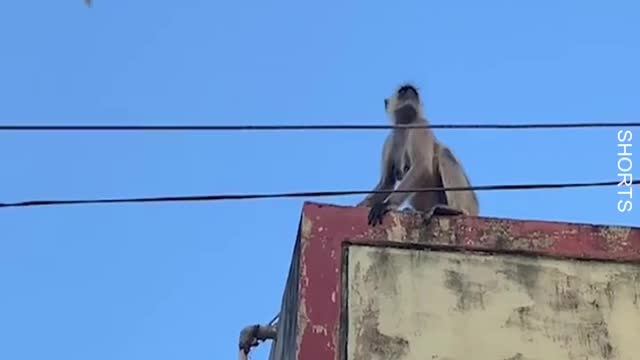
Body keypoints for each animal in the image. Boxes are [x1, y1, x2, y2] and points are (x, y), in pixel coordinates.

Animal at [358, 83, 478, 226]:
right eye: (402, 90)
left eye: (413, 91)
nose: (410, 91)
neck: (406, 125)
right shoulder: (389, 141)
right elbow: (387, 182)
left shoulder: (421, 124)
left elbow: (422, 165)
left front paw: (386, 204)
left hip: (471, 202)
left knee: (445, 153)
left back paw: (455, 210)